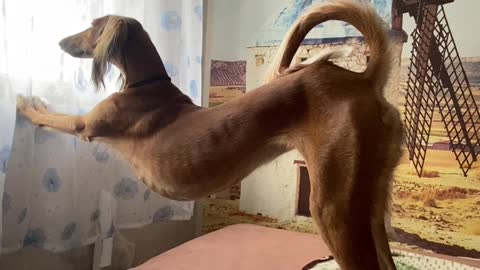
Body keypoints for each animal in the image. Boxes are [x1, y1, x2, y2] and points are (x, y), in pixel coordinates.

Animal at [17, 1, 402, 268]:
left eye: (91, 28)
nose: (60, 41)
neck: (146, 84)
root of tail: (361, 79)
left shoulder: (88, 126)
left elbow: (54, 117)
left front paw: (26, 103)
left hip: (334, 208)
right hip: (371, 205)